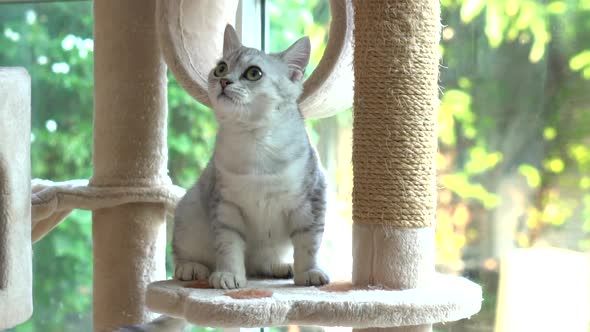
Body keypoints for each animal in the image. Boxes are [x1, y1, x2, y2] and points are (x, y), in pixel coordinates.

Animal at [115, 24, 328, 332]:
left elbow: (309, 243)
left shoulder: (312, 198)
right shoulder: (225, 205)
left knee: (261, 265)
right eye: (221, 67)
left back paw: (282, 267)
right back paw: (193, 269)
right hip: (190, 208)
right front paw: (228, 276)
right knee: (187, 256)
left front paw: (309, 273)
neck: (254, 144)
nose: (224, 81)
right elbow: (229, 245)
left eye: (254, 73)